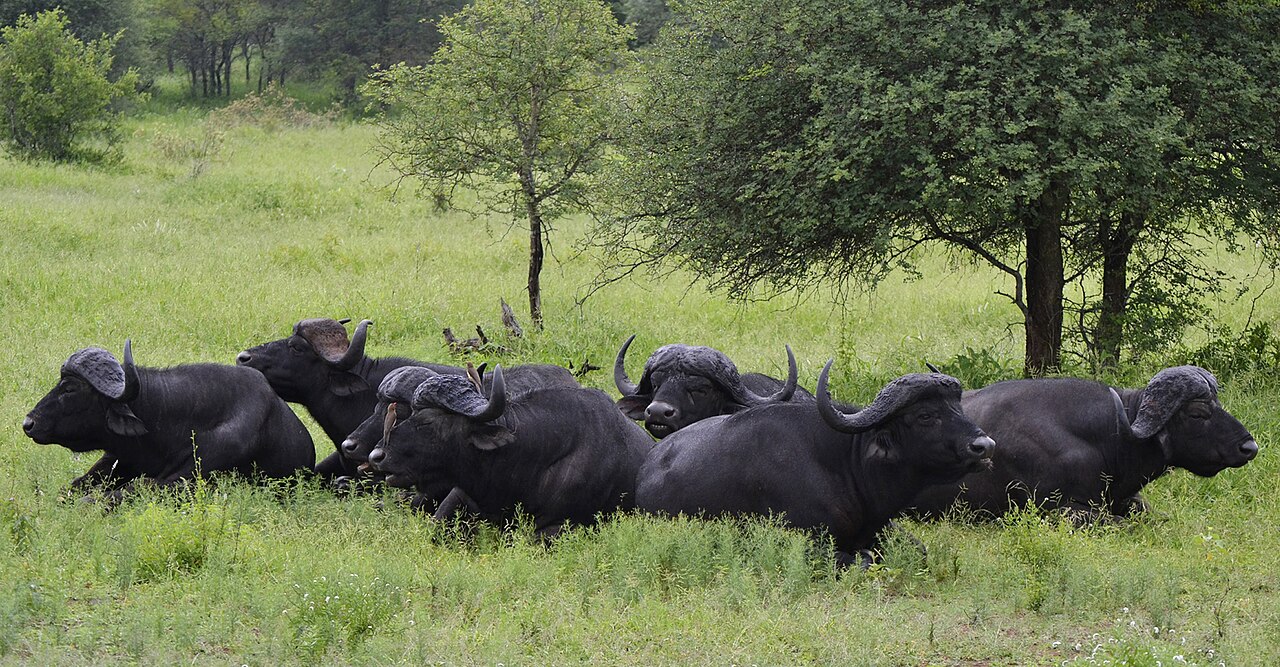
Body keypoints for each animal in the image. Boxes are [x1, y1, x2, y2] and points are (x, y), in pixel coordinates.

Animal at [635, 361, 994, 565]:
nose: (984, 446)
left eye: (957, 408)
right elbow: (860, 559)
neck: (843, 464)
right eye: (925, 415)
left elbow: (919, 551)